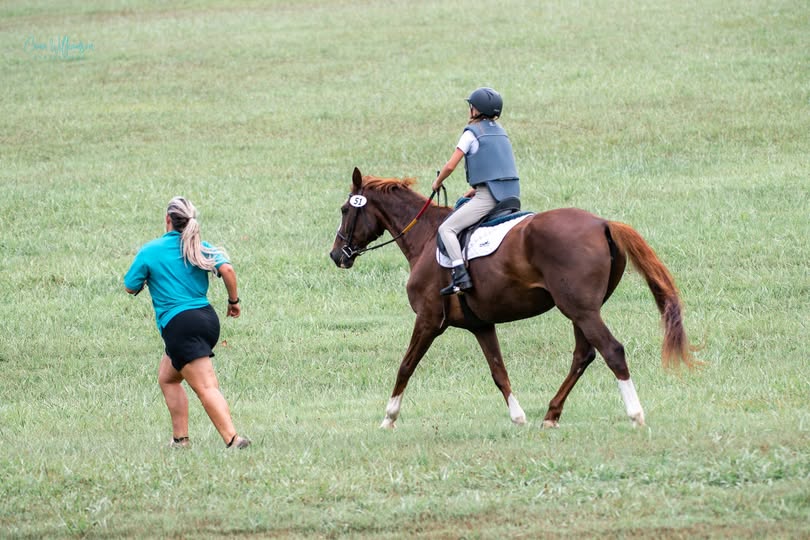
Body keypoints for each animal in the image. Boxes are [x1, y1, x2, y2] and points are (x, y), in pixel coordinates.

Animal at [330, 167, 695, 430]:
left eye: (346, 209)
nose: (336, 255)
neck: (426, 236)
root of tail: (603, 223)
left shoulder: (429, 320)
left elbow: (406, 366)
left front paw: (388, 418)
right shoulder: (481, 325)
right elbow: (498, 370)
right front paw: (518, 417)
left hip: (580, 310)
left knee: (611, 351)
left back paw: (635, 414)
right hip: (582, 310)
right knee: (584, 355)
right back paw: (551, 414)